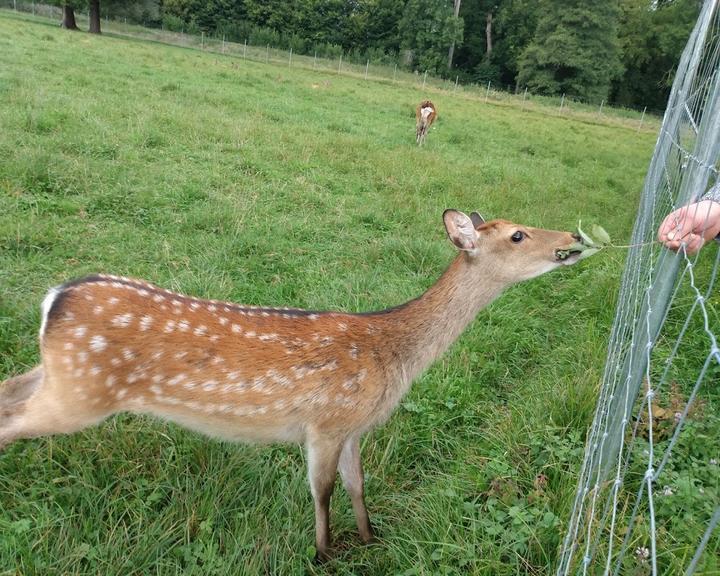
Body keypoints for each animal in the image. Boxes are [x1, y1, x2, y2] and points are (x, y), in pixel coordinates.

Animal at [0, 209, 584, 560]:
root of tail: (54, 298)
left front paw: (369, 540)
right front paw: (325, 554)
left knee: (8, 389)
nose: (575, 238)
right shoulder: (324, 422)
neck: (393, 354)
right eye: (517, 234)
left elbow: (357, 484)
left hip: (61, 376)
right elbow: (321, 489)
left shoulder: (354, 427)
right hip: (81, 394)